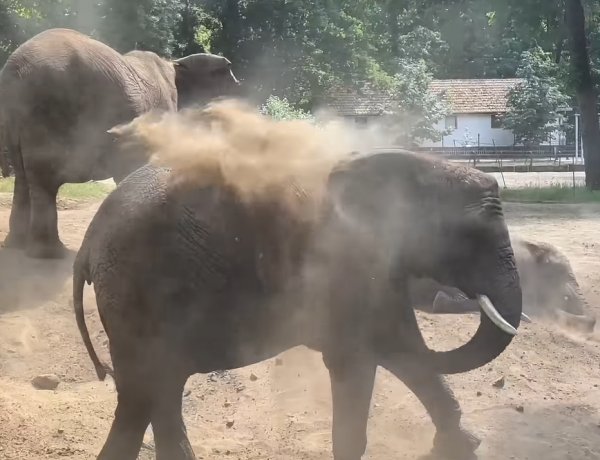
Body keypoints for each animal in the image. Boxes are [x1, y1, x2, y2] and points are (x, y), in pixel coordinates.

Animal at [0, 27, 239, 258]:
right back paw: (50, 254)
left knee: (24, 176)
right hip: (48, 108)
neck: (175, 62)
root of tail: (15, 71)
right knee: (43, 179)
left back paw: (18, 245)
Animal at [74, 142, 520, 458]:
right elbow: (360, 356)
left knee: (152, 394)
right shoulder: (345, 266)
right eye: (470, 236)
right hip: (141, 293)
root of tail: (89, 242)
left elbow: (401, 346)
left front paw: (464, 445)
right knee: (147, 392)